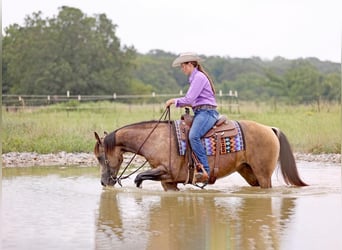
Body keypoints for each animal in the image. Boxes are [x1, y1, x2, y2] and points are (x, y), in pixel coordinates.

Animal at [93, 109, 308, 191]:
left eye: (100, 157)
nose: (104, 182)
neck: (156, 139)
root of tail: (270, 129)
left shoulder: (166, 172)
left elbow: (139, 176)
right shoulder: (168, 182)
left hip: (263, 175)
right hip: (249, 172)